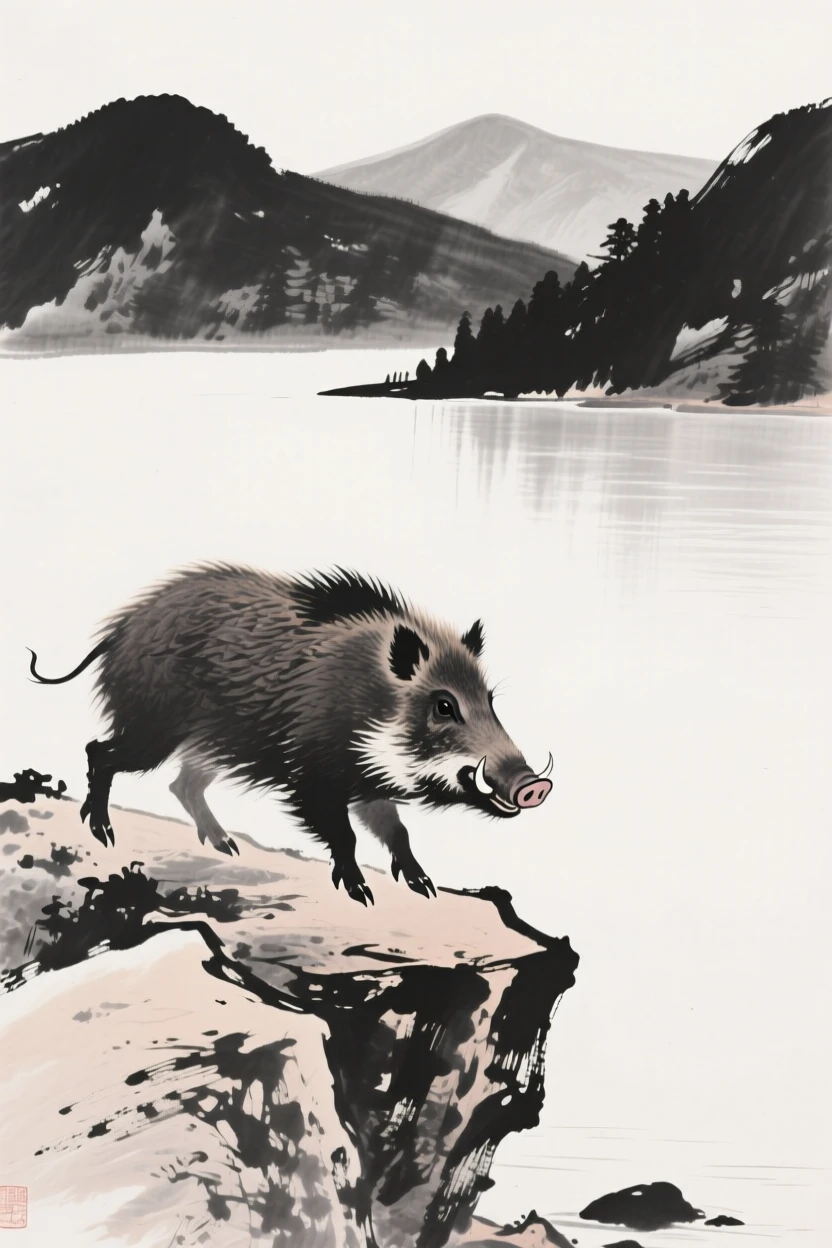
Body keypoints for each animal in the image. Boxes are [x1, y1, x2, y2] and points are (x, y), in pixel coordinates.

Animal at [28, 563, 552, 904]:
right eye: (444, 705)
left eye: (490, 701)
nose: (534, 785)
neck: (370, 703)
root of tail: (119, 632)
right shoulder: (314, 777)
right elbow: (345, 836)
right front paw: (361, 894)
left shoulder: (367, 783)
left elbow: (397, 832)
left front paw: (424, 888)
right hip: (152, 730)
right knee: (100, 751)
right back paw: (103, 833)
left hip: (211, 746)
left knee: (182, 784)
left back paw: (227, 846)